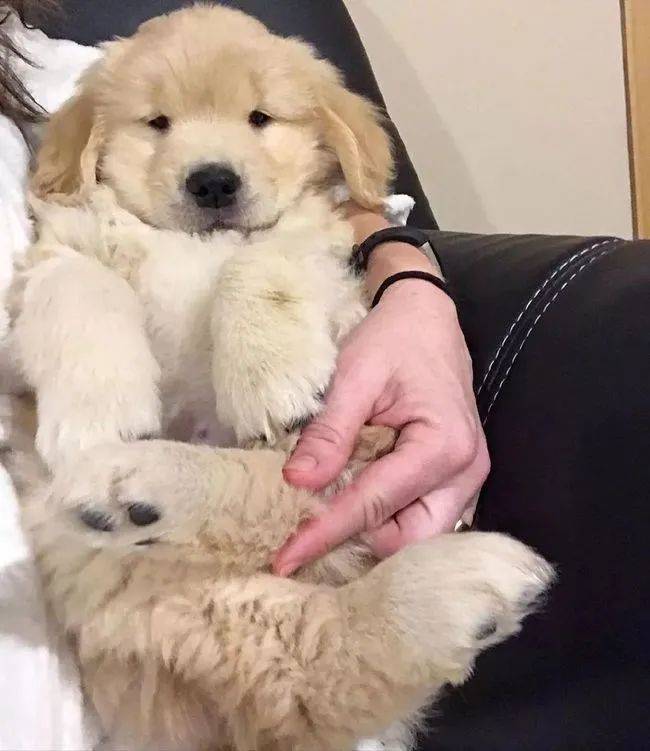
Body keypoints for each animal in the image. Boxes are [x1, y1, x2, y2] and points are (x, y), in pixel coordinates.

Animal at [2, 5, 554, 750]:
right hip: (131, 579)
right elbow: (78, 287)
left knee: (294, 521)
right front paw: (97, 416)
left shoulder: (313, 250)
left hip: (350, 447)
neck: (194, 242)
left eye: (260, 117)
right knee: (296, 663)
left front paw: (270, 376)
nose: (212, 181)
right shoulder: (61, 252)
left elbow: (259, 260)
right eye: (157, 122)